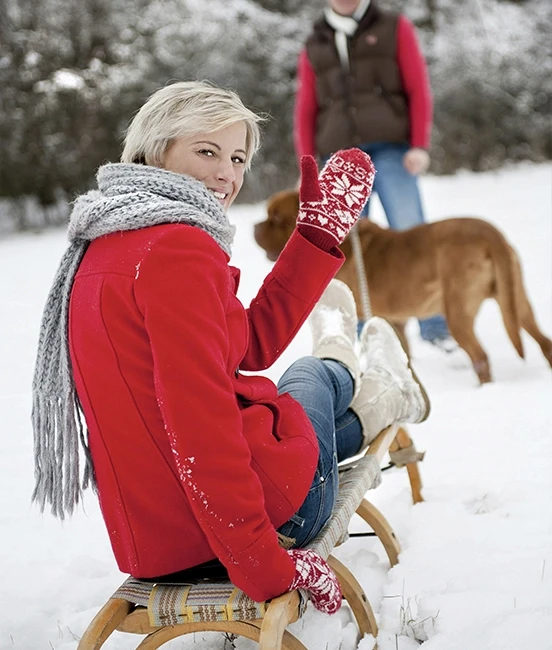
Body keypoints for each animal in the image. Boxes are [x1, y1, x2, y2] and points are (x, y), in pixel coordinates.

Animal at [253, 187, 552, 382]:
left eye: (276, 217)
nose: (254, 226)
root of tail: (491, 234)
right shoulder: (394, 321)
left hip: (457, 312)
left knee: (481, 358)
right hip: (517, 302)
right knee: (543, 341)